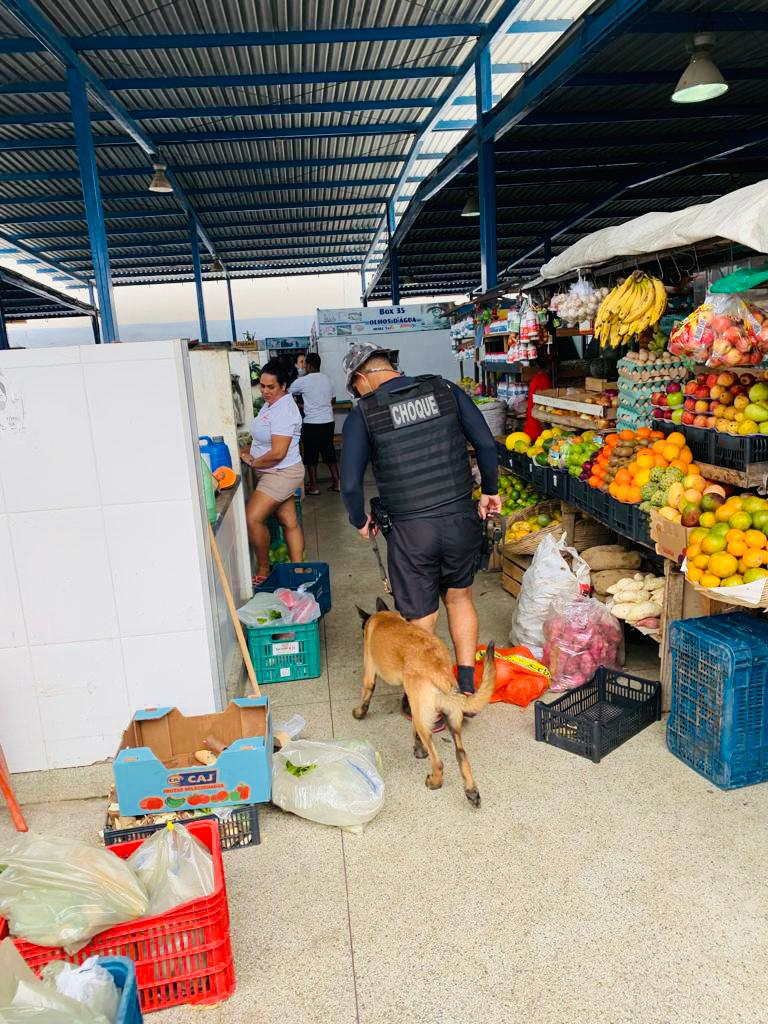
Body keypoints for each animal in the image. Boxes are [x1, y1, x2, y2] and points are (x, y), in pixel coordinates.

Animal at [356, 598, 499, 806]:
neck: (384, 618)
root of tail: (439, 670)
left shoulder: (369, 672)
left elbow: (366, 693)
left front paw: (359, 712)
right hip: (447, 718)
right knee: (461, 755)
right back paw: (471, 791)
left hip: (423, 717)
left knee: (437, 761)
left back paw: (434, 781)